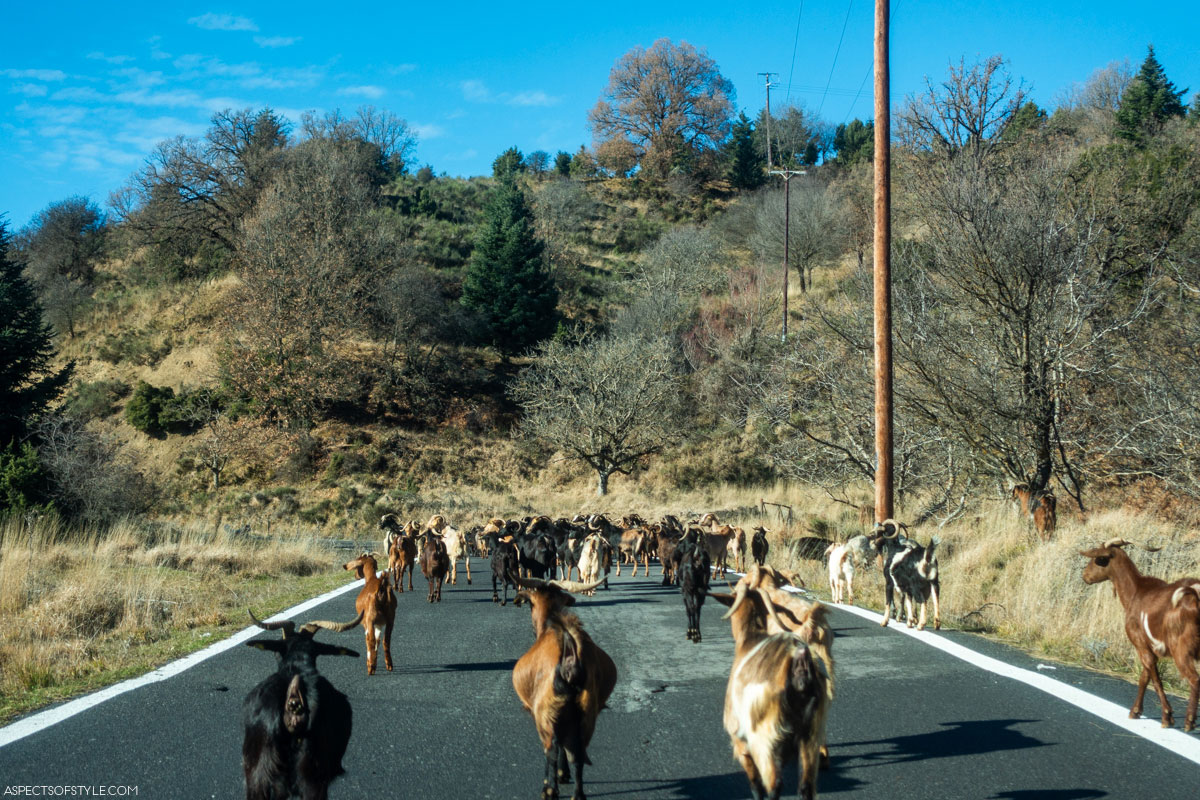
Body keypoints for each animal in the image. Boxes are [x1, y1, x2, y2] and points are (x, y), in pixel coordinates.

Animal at [511, 576, 616, 800]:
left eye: (530, 604)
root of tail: (571, 660)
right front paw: (563, 773)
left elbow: (557, 745)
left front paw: (559, 776)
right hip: (587, 711)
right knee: (578, 751)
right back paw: (578, 794)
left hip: (545, 712)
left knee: (552, 747)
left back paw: (548, 789)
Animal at [711, 568, 832, 800]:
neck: (749, 639)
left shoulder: (740, 739)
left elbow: (755, 784)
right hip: (810, 736)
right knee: (806, 787)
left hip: (765, 738)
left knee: (774, 783)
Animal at [1080, 538, 1200, 731]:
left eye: (1097, 559)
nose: (1085, 576)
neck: (1135, 591)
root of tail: (1195, 596)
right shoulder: (1148, 648)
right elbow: (1145, 677)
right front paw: (1135, 711)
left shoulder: (1140, 644)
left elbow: (1155, 680)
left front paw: (1167, 717)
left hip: (1181, 649)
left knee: (1194, 679)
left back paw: (1189, 722)